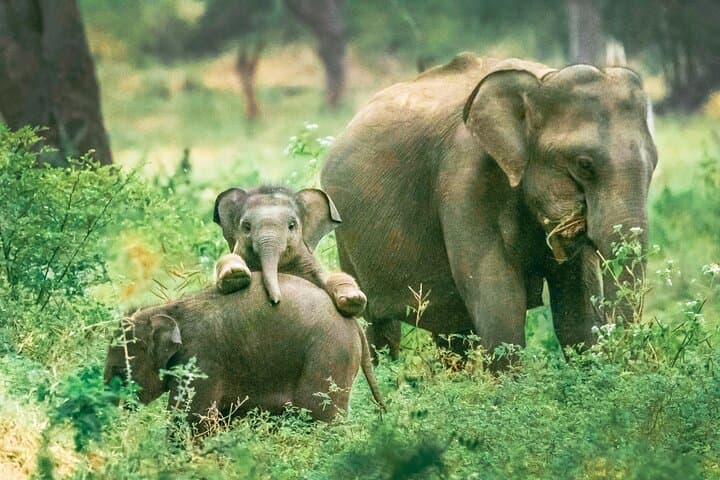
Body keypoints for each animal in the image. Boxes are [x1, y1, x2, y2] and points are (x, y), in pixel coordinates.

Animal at [104, 272, 385, 426]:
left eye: (120, 371)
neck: (169, 308)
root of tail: (355, 325)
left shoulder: (201, 359)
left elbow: (192, 419)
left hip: (329, 354)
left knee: (319, 416)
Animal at [213, 185, 367, 317]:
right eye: (246, 227)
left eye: (291, 225)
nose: (275, 302)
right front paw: (235, 274)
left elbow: (333, 278)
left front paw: (353, 299)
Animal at [321, 53, 657, 361]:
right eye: (584, 165)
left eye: (653, 165)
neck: (542, 81)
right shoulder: (464, 178)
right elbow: (498, 299)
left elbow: (576, 309)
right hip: (346, 237)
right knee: (379, 327)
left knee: (452, 332)